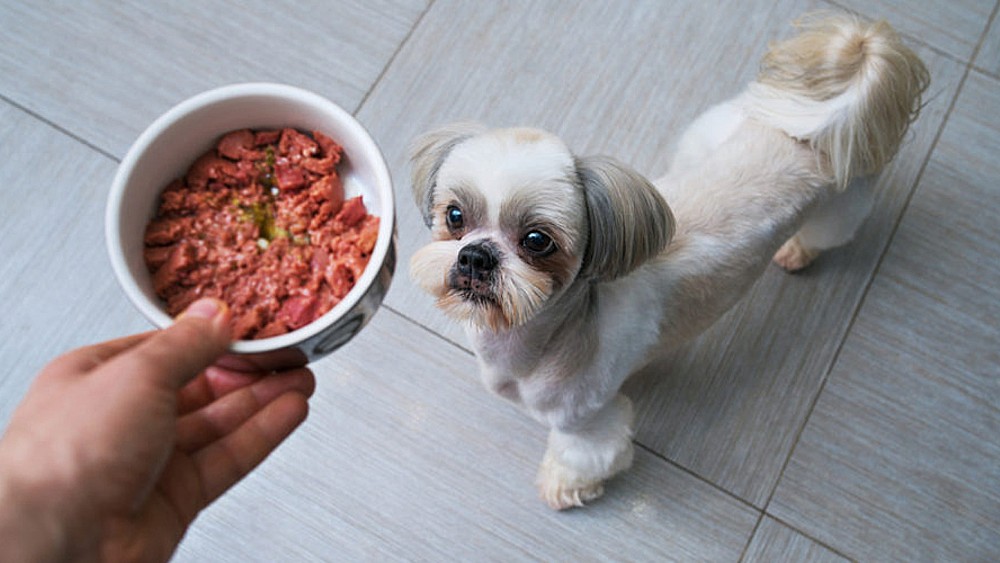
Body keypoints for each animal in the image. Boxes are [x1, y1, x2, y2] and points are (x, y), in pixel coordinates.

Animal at [404, 14, 928, 512]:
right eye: (455, 215)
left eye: (537, 240)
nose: (476, 255)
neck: (546, 337)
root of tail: (825, 120)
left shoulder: (588, 420)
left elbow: (582, 457)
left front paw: (562, 488)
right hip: (712, 132)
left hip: (841, 206)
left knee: (829, 233)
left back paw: (798, 251)